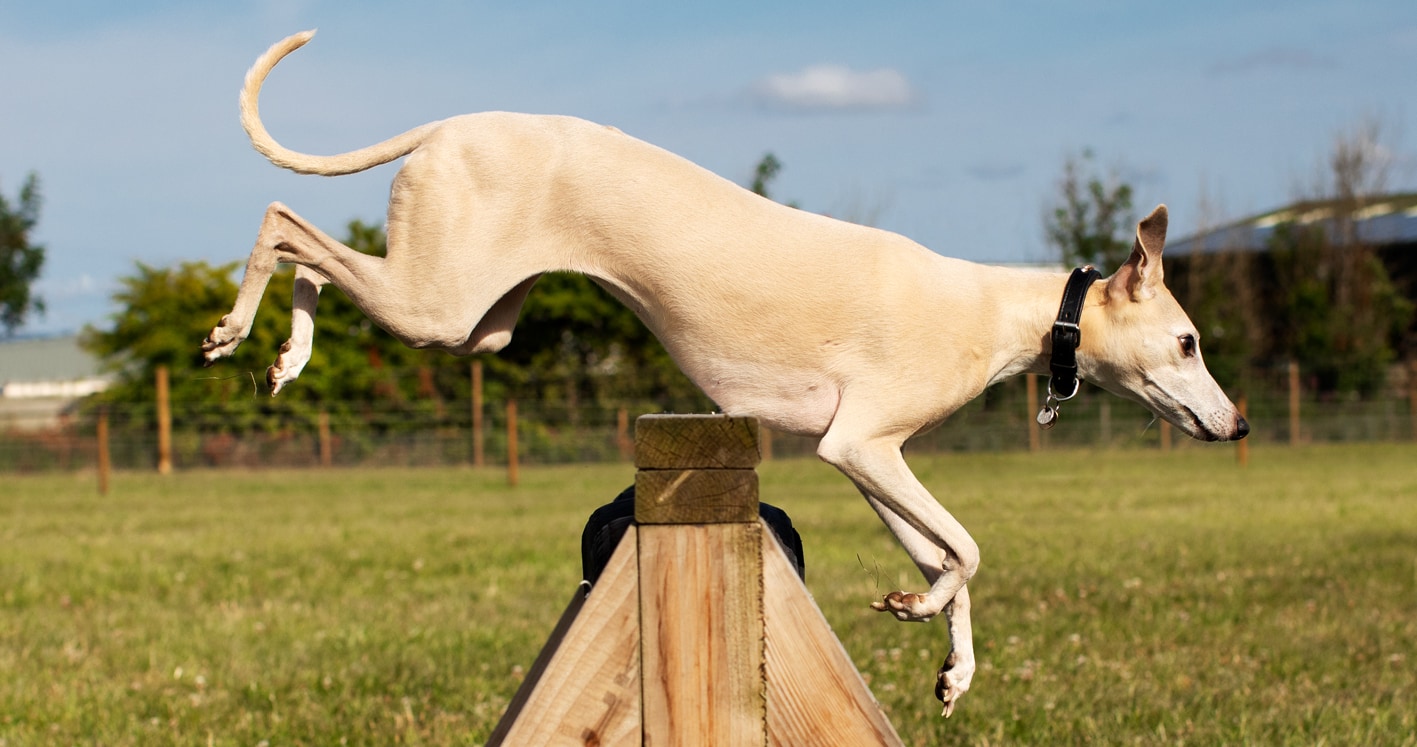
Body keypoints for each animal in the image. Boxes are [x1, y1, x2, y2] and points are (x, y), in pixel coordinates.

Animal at [202, 30, 1252, 720]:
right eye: (1189, 342)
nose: (1237, 424)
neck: (1005, 309)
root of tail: (448, 124)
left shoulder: (869, 461)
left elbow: (945, 557)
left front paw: (949, 661)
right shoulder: (861, 444)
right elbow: (969, 547)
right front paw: (924, 614)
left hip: (470, 324)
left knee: (311, 252)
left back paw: (287, 353)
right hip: (438, 303)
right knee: (280, 220)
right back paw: (234, 327)